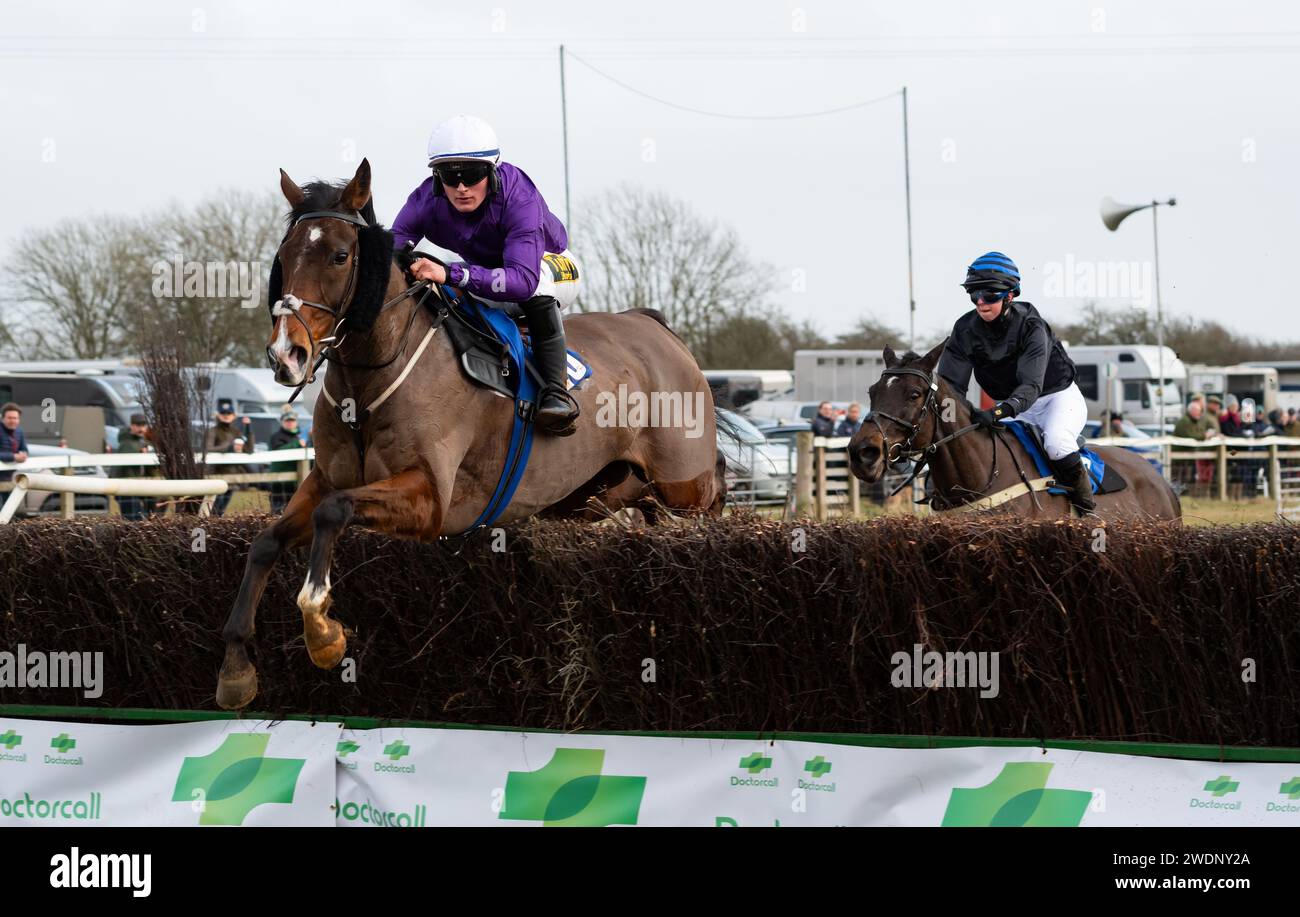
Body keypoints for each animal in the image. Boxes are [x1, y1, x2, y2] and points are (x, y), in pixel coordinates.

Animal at [213, 159, 722, 707]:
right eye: (283, 257)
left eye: (339, 255)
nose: (286, 355)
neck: (370, 377)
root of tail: (657, 329)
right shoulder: (324, 478)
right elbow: (267, 541)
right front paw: (236, 668)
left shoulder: (431, 499)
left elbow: (335, 511)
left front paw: (324, 635)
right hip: (600, 494)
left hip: (684, 490)